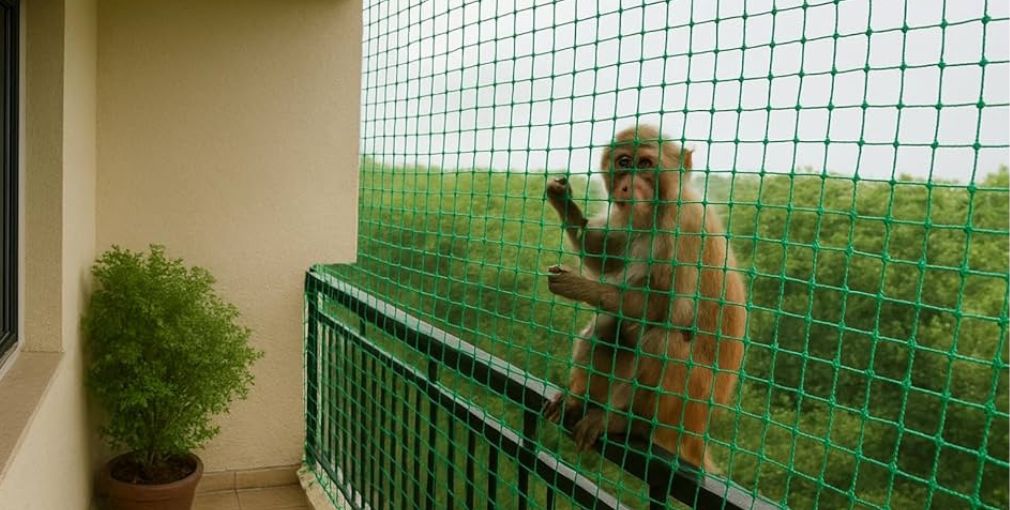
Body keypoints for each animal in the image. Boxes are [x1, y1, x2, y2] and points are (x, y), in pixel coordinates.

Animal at [541, 124, 746, 473]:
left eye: (646, 164)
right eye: (624, 162)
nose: (628, 185)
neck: (658, 210)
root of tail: (695, 436)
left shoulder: (684, 226)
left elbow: (668, 311)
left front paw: (582, 287)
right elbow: (607, 256)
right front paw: (566, 205)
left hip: (689, 404)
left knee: (664, 340)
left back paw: (624, 423)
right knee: (609, 327)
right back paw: (577, 399)